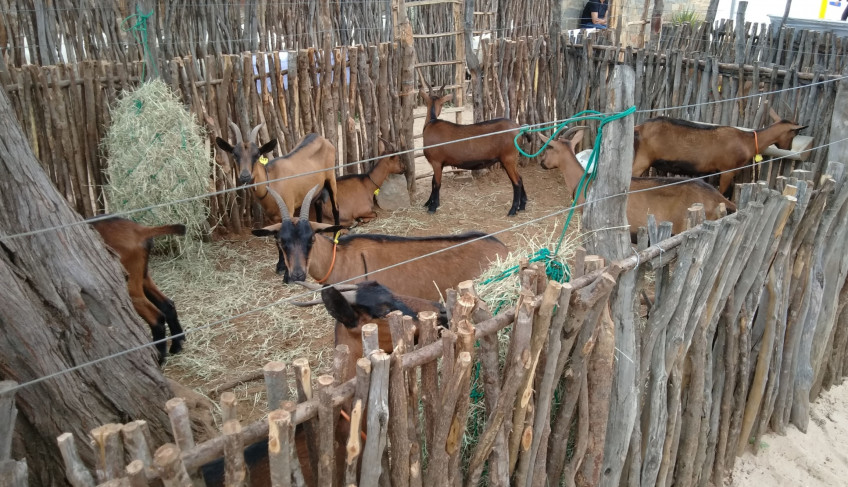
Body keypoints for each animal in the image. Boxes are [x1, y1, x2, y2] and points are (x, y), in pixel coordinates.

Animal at [91, 216, 186, 362]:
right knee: (168, 305)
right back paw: (177, 344)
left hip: (128, 282)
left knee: (156, 317)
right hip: (143, 275)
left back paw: (160, 358)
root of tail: (140, 230)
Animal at [420, 86, 528, 216]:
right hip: (512, 159)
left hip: (508, 158)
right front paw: (428, 203)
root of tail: (519, 128)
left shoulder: (436, 162)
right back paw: (522, 206)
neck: (431, 123)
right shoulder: (439, 164)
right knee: (520, 178)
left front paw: (432, 207)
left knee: (516, 182)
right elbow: (433, 182)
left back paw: (512, 210)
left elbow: (436, 183)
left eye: (441, 103)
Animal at [632, 112, 804, 194]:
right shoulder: (727, 170)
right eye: (794, 134)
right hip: (642, 159)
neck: (746, 140)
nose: (789, 149)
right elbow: (722, 192)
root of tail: (639, 127)